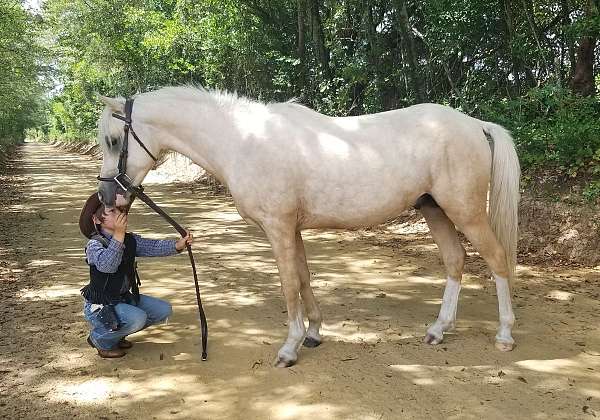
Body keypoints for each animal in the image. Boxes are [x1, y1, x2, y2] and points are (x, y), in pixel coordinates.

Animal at [97, 86, 520, 368]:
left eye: (115, 140)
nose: (106, 197)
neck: (244, 142)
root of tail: (475, 124)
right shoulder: (293, 229)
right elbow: (303, 278)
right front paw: (314, 333)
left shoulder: (278, 228)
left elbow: (289, 285)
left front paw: (289, 348)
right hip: (435, 210)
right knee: (455, 260)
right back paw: (438, 329)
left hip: (465, 212)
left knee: (497, 260)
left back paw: (504, 335)